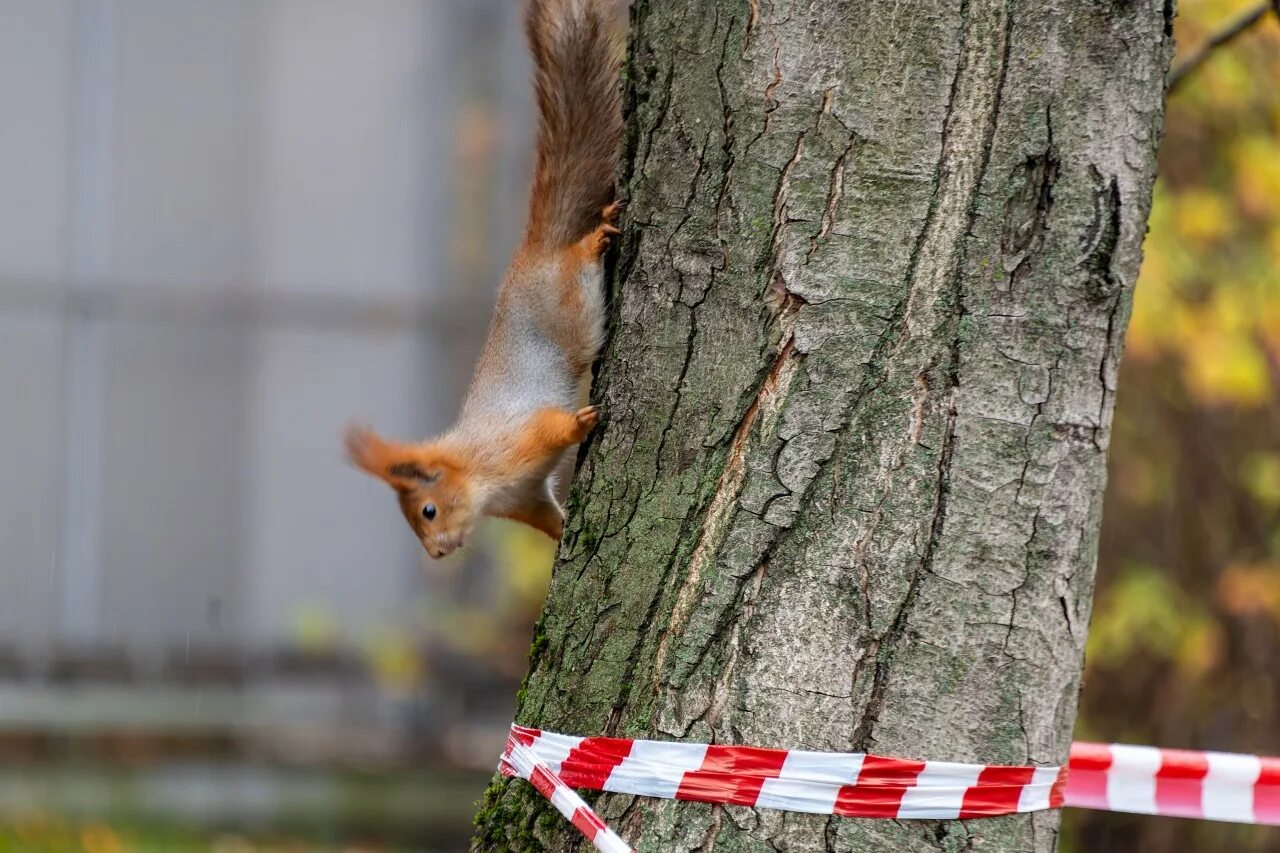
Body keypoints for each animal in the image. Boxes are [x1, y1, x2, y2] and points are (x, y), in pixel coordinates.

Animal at [340, 0, 619, 558]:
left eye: (427, 510)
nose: (437, 553)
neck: (477, 472)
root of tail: (532, 252)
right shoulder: (526, 499)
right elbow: (546, 518)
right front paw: (562, 542)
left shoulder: (514, 444)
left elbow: (548, 429)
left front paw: (578, 422)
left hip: (569, 298)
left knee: (578, 261)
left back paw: (593, 240)